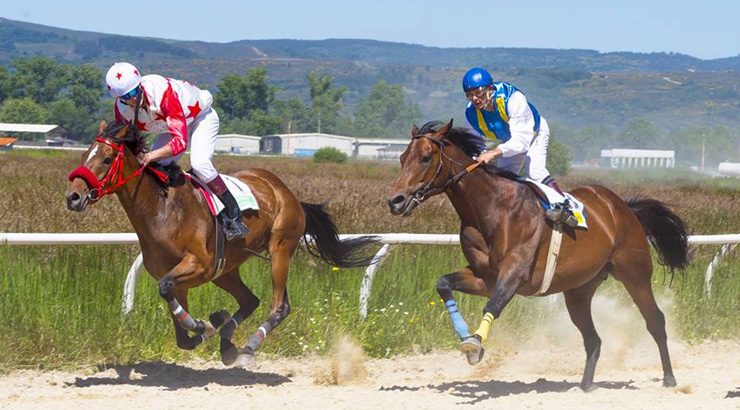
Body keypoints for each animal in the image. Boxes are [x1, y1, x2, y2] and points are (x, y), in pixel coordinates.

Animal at [66, 120, 378, 366]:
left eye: (107, 159)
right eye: (84, 154)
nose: (73, 196)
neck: (163, 211)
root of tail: (286, 191)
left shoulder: (199, 265)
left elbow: (167, 290)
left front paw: (202, 324)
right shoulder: (179, 277)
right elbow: (179, 327)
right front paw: (206, 326)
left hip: (279, 249)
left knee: (278, 306)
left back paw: (248, 347)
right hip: (226, 269)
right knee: (251, 300)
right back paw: (227, 339)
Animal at [388, 119, 688, 390]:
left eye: (426, 158)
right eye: (402, 158)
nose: (395, 201)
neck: (491, 208)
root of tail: (623, 206)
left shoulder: (515, 273)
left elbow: (492, 306)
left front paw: (474, 344)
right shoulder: (485, 277)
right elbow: (443, 284)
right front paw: (465, 336)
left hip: (634, 273)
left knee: (655, 321)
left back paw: (670, 379)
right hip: (579, 289)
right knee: (593, 339)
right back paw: (585, 385)